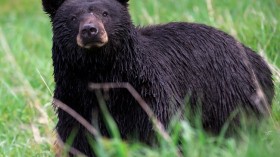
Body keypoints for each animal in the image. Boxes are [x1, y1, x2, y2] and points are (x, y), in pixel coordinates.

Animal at [42, 0, 274, 156]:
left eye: (105, 13)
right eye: (73, 18)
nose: (90, 30)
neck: (101, 74)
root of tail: (259, 61)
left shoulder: (147, 94)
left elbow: (159, 130)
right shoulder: (74, 101)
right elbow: (78, 139)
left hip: (231, 97)